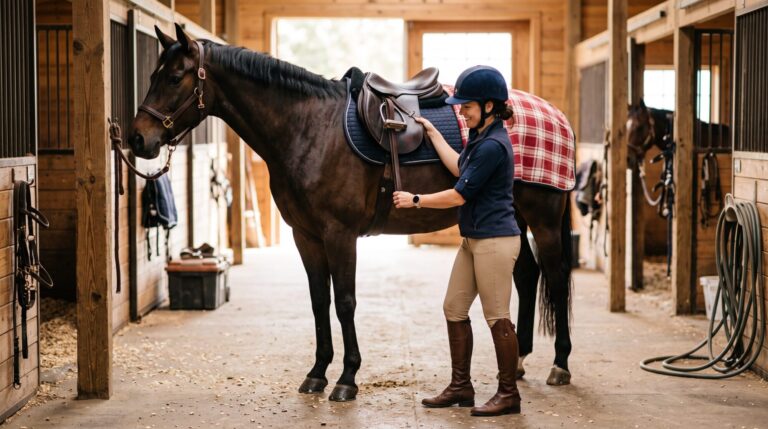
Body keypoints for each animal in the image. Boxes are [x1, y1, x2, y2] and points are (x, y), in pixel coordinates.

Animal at [126, 24, 574, 401]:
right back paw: (520, 360)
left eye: (174, 77)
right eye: (152, 76)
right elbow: (318, 301)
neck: (309, 129)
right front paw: (317, 373)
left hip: (543, 218)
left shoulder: (339, 234)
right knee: (526, 274)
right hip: (513, 215)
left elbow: (344, 302)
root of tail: (556, 116)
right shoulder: (305, 235)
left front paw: (346, 379)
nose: (137, 139)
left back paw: (560, 364)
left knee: (554, 277)